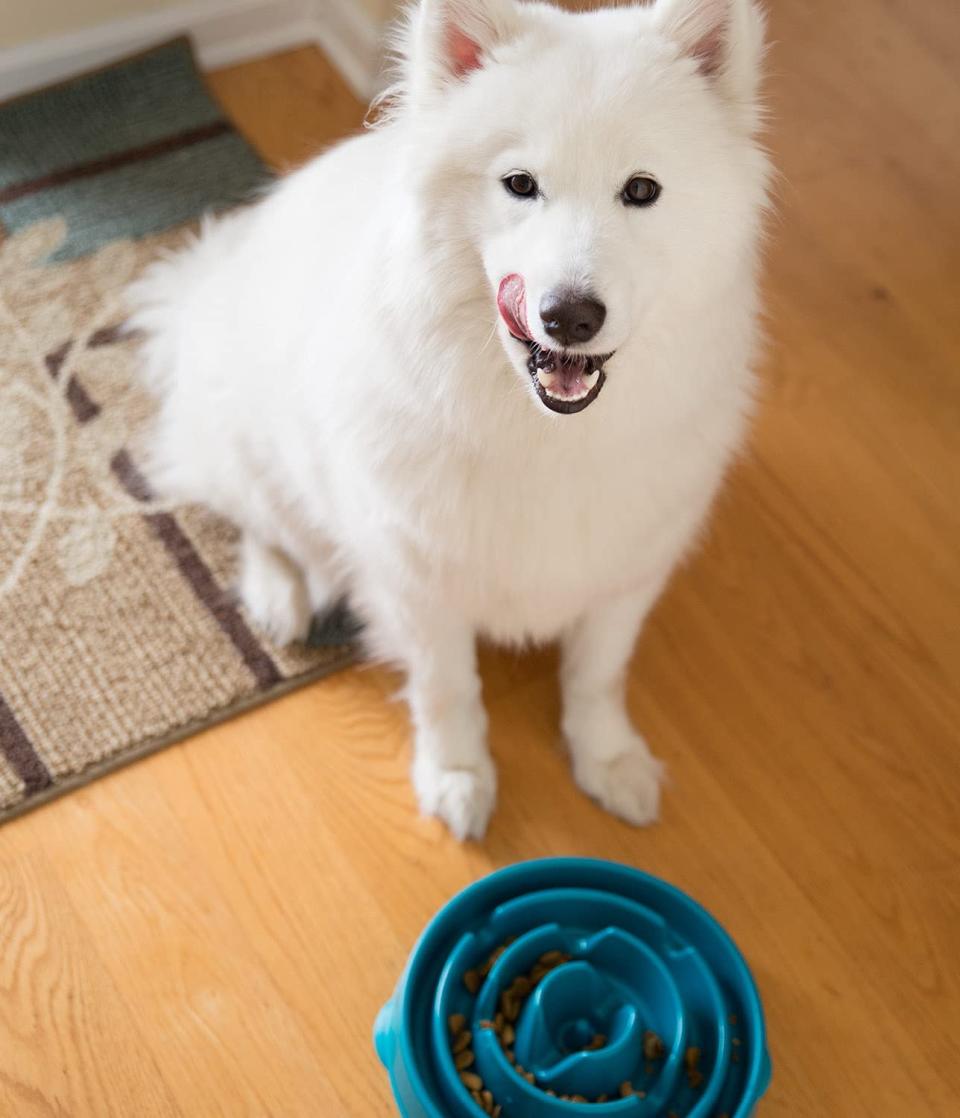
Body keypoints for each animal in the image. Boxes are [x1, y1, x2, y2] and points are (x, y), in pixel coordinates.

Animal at [131, 0, 768, 840]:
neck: (547, 434)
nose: (570, 317)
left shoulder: (626, 571)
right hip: (256, 447)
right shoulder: (418, 583)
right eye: (520, 184)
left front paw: (608, 760)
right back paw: (280, 595)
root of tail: (203, 292)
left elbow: (598, 674)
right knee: (261, 522)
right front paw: (458, 777)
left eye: (641, 190)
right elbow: (447, 689)